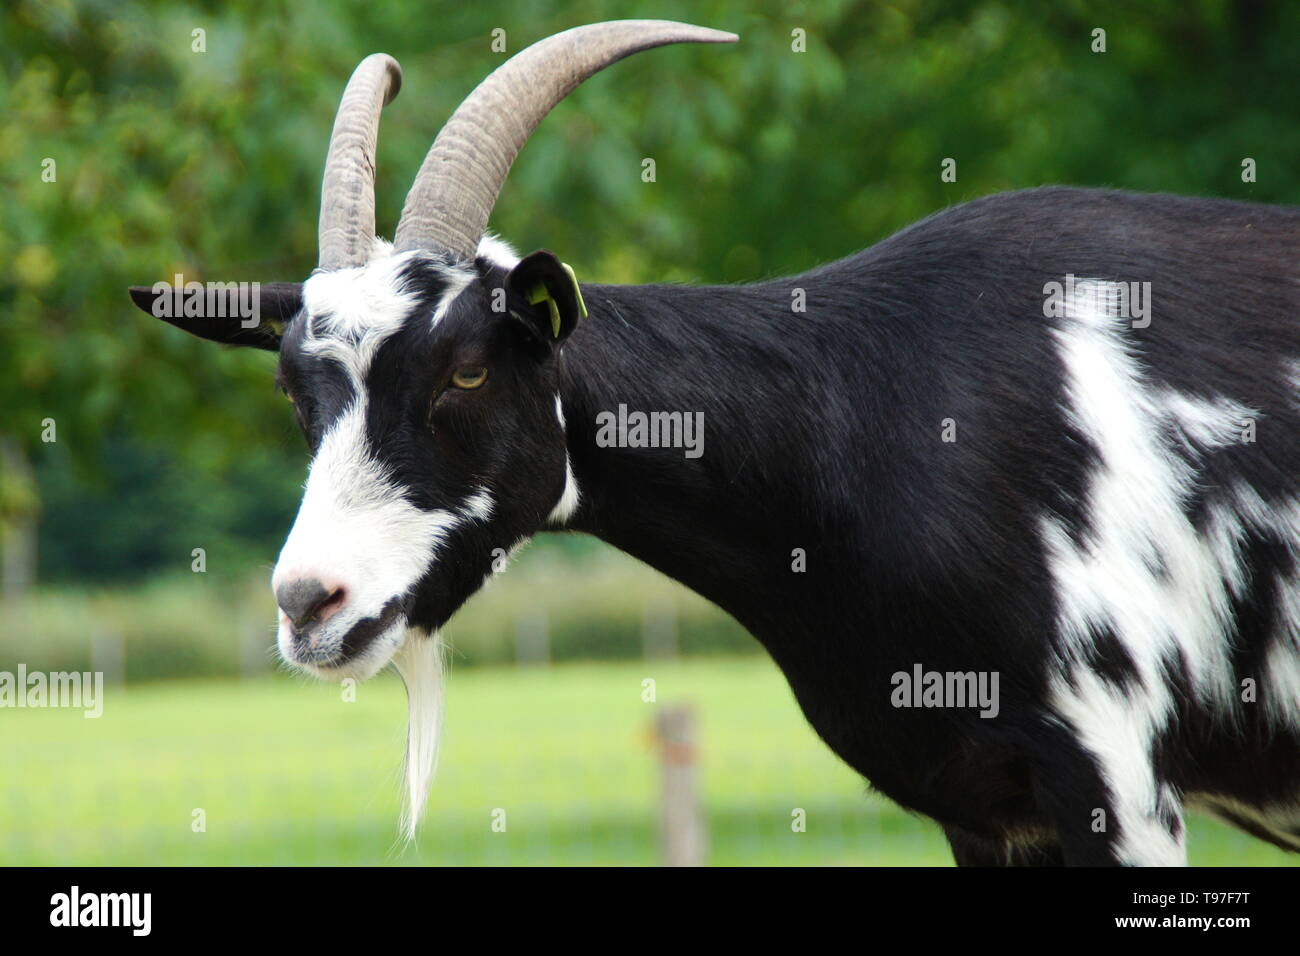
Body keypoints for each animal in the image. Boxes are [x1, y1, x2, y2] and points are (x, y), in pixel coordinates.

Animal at [131, 18, 1300, 868]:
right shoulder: (984, 807)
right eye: (293, 387)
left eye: (465, 368)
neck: (872, 421)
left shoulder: (1116, 774)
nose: (308, 604)